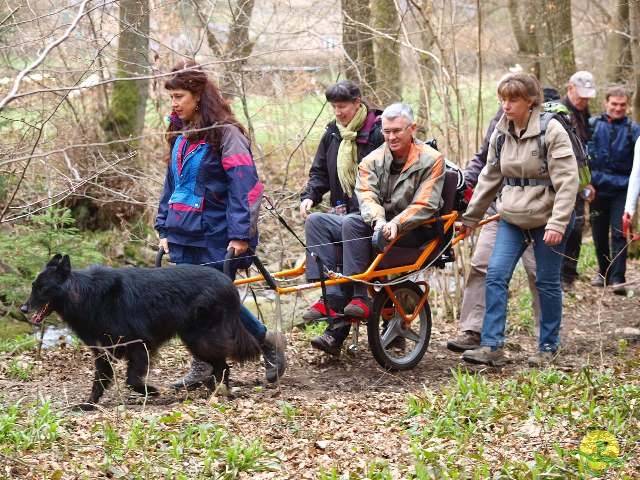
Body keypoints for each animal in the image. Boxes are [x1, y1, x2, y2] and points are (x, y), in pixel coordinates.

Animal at [20, 255, 260, 408]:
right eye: (33, 286)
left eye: (42, 288)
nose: (22, 309)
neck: (87, 295)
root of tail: (228, 282)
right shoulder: (103, 352)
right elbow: (99, 382)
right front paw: (88, 404)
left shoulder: (139, 344)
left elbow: (131, 380)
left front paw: (151, 391)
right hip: (195, 340)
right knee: (219, 365)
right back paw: (215, 389)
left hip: (200, 339)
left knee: (223, 365)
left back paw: (220, 392)